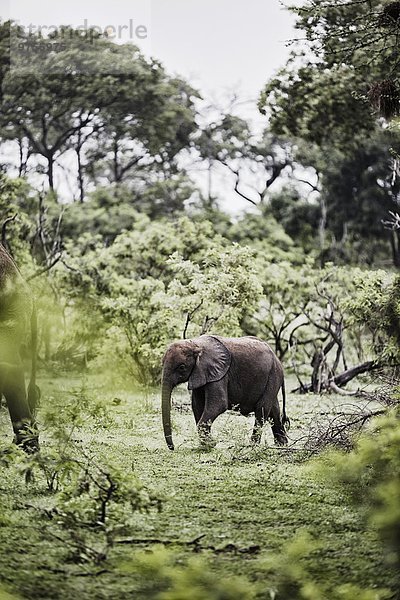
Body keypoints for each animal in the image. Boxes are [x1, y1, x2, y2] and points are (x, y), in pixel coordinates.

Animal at [161, 336, 290, 448]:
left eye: (181, 367)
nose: (173, 447)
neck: (196, 344)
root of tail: (277, 359)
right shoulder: (201, 373)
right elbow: (197, 406)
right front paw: (207, 445)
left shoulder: (220, 374)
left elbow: (218, 404)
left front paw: (211, 444)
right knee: (274, 410)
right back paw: (282, 444)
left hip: (274, 374)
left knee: (262, 409)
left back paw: (253, 446)